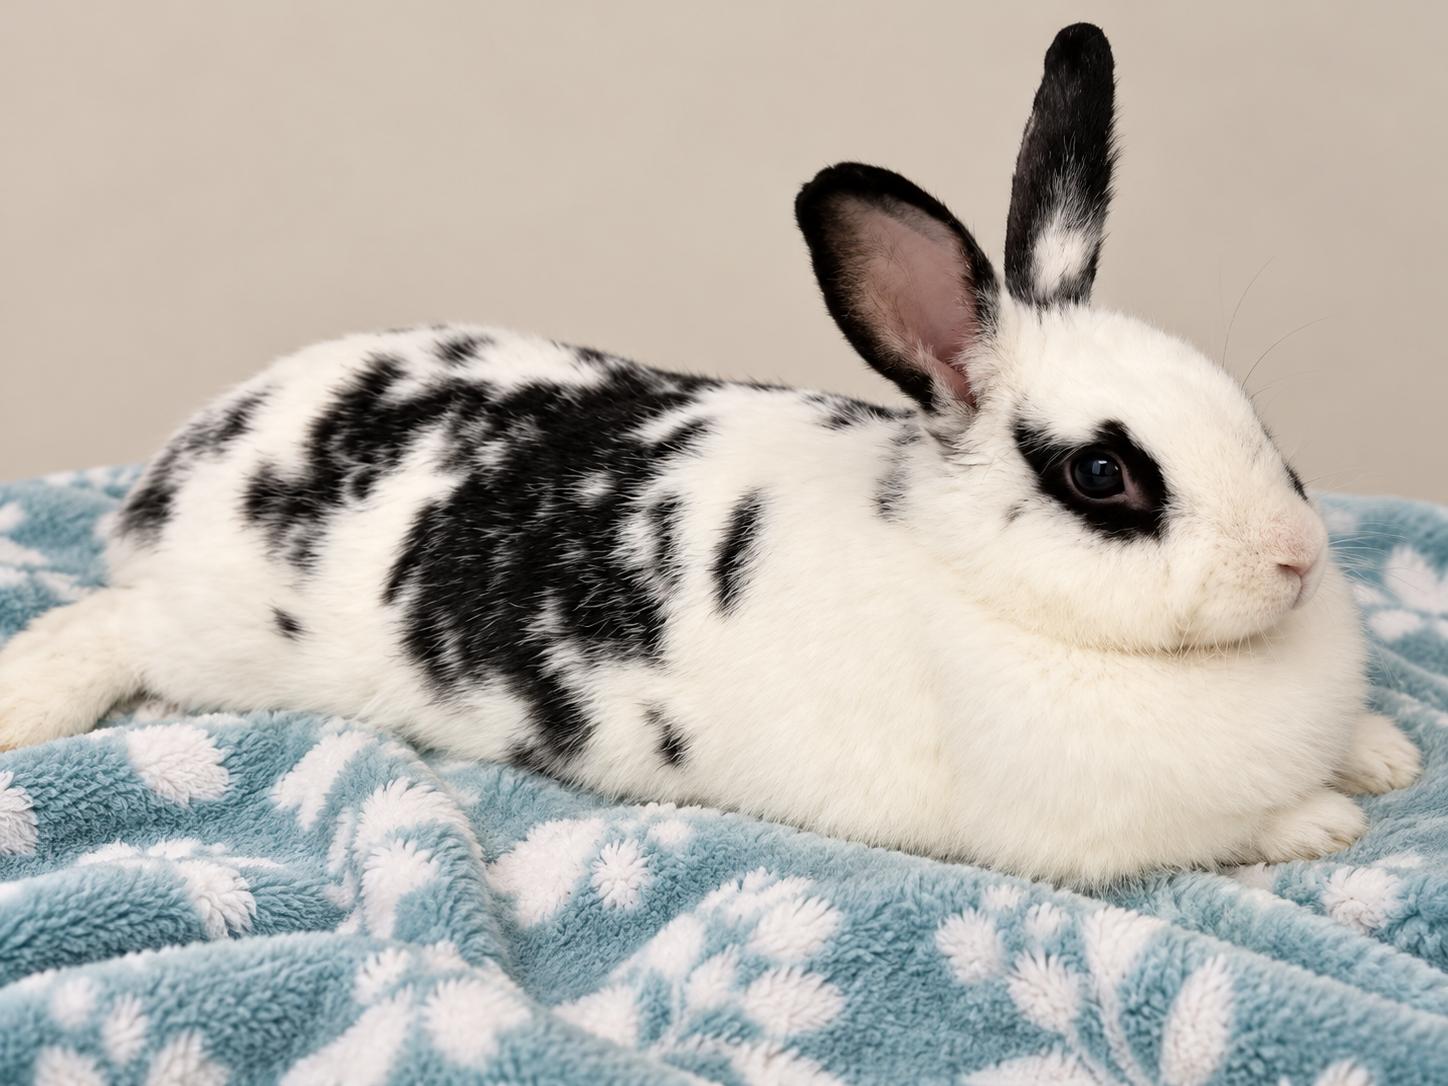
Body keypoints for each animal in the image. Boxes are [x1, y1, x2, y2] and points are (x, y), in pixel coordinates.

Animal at [0, 23, 1420, 886]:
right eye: (1101, 476)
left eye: (1251, 422)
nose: (1295, 562)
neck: (968, 580)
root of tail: (179, 470)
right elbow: (1244, 826)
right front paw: (1328, 815)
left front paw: (1383, 756)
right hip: (203, 638)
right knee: (106, 634)